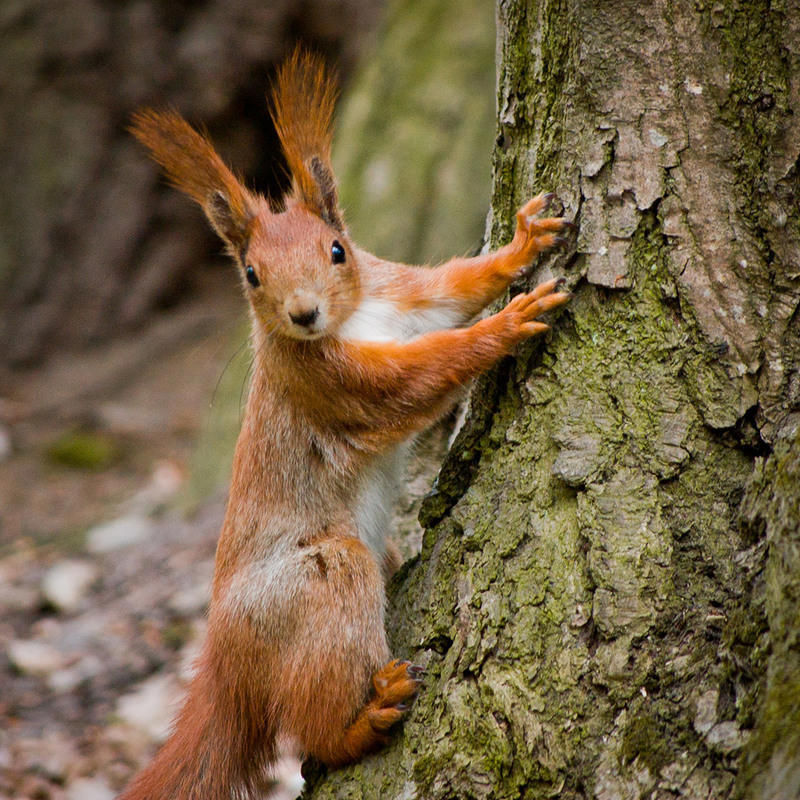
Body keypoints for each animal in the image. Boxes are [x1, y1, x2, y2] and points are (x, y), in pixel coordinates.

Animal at [122, 50, 572, 800]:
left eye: (338, 250)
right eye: (250, 274)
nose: (303, 314)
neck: (357, 316)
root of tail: (226, 671)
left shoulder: (403, 292)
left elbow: (455, 287)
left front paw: (522, 246)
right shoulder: (332, 385)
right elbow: (420, 374)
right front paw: (507, 324)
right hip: (319, 585)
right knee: (313, 731)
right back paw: (367, 716)